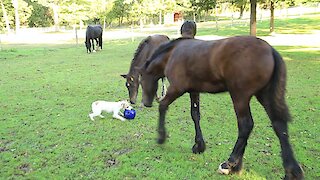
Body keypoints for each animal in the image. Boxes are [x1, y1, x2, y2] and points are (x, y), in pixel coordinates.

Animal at [138, 36, 302, 179]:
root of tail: (270, 50)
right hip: (264, 95)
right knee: (279, 125)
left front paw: (161, 137)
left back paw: (230, 164)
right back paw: (291, 172)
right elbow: (195, 115)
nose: (146, 102)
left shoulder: (177, 89)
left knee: (245, 125)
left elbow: (163, 106)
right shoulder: (194, 90)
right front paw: (199, 146)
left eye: (140, 80)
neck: (172, 54)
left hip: (240, 97)